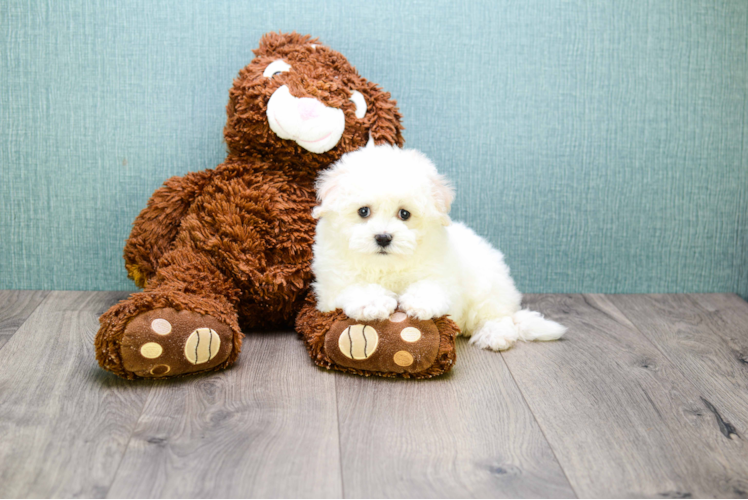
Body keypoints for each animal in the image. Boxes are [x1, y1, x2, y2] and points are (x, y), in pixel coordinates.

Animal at [312, 143, 568, 350]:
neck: (386, 265)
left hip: (488, 289)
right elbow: (355, 287)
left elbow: (432, 285)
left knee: (497, 316)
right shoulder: (331, 286)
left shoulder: (443, 273)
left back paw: (493, 334)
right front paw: (373, 303)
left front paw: (420, 302)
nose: (383, 237)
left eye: (404, 214)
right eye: (363, 211)